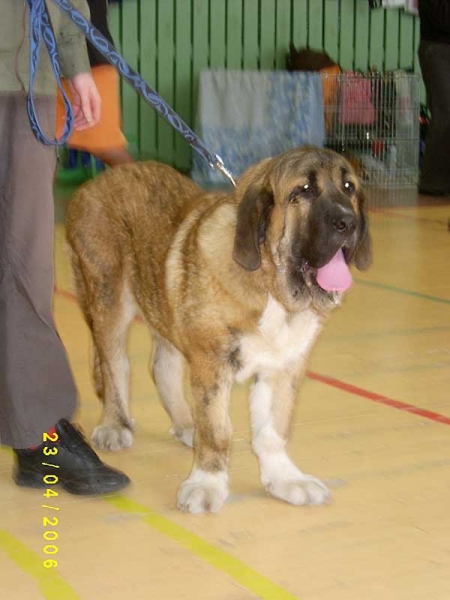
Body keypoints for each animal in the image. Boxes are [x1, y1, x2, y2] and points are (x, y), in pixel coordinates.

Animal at [65, 146, 370, 516]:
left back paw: (186, 425)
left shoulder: (282, 368)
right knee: (114, 365)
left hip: (162, 299)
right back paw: (114, 423)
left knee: (162, 367)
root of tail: (98, 181)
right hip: (109, 297)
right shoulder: (212, 364)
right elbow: (217, 430)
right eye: (305, 190)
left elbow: (273, 429)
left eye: (348, 187)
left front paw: (285, 479)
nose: (348, 222)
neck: (268, 283)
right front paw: (206, 484)